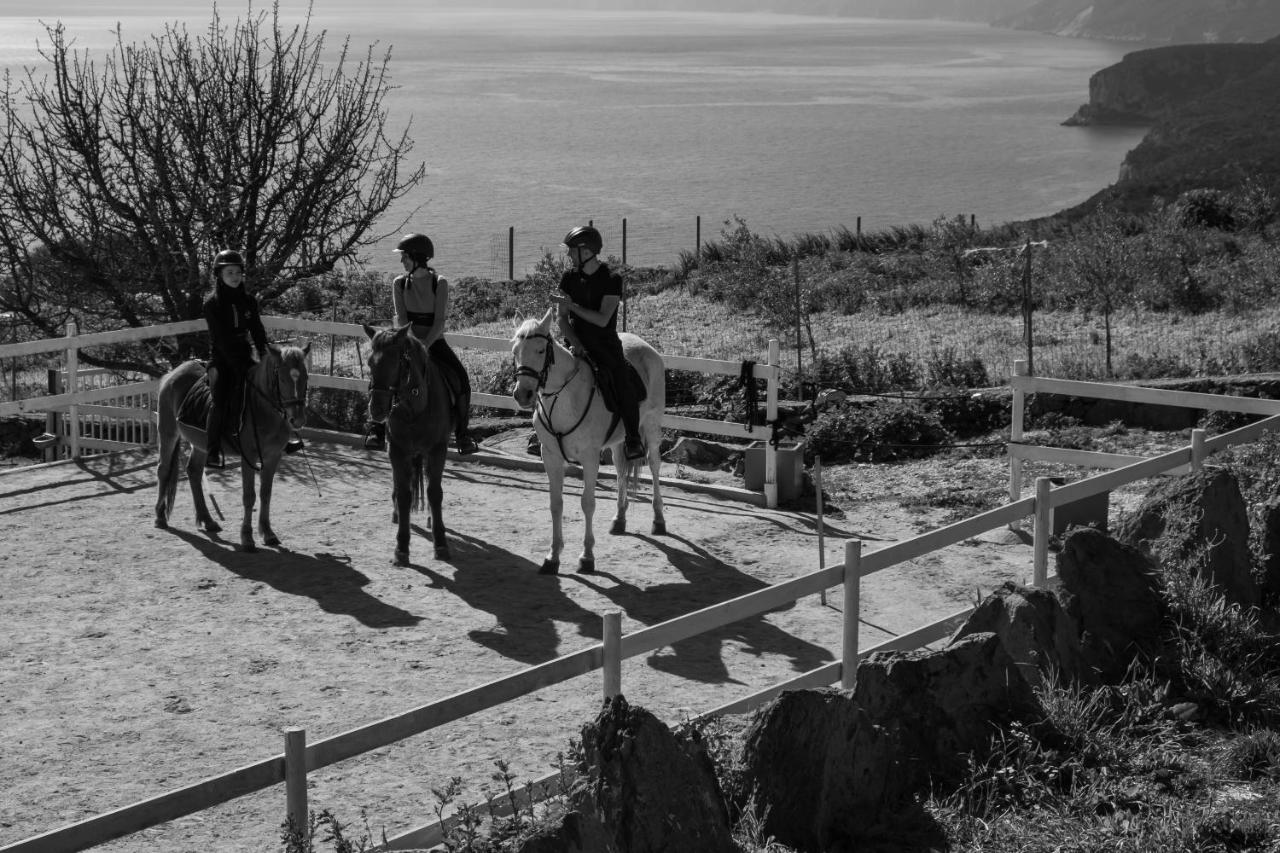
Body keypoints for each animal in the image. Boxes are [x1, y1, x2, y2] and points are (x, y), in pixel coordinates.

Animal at [156, 343, 311, 550]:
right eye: (283, 378)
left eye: (306, 376)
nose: (298, 419)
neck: (262, 407)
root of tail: (172, 373)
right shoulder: (249, 457)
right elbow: (249, 496)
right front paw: (247, 538)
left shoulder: (273, 456)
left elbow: (266, 493)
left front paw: (268, 533)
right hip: (168, 432)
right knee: (164, 470)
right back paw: (160, 517)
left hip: (201, 444)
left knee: (194, 472)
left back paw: (207, 520)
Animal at [363, 320, 458, 563]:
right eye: (369, 363)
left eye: (395, 362)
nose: (376, 409)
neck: (414, 408)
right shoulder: (397, 450)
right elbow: (404, 495)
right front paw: (401, 547)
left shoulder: (437, 450)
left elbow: (434, 493)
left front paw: (440, 543)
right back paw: (397, 513)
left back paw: (432, 520)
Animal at [509, 306, 670, 571]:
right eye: (515, 351)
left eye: (540, 350)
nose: (523, 394)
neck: (564, 398)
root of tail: (647, 347)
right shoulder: (550, 456)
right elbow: (556, 503)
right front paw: (553, 557)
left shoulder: (590, 458)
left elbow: (587, 503)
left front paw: (587, 557)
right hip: (621, 440)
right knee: (621, 469)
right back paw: (619, 518)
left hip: (652, 426)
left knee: (655, 465)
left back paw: (658, 519)